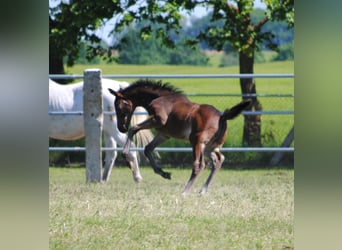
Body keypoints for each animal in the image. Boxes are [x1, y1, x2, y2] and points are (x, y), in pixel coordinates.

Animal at [109, 79, 251, 194]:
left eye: (119, 106)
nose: (121, 127)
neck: (160, 98)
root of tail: (222, 116)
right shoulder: (164, 134)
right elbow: (148, 149)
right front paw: (164, 173)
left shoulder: (158, 120)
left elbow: (133, 129)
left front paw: (126, 157)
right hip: (210, 146)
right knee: (218, 160)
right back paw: (203, 190)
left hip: (197, 142)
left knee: (200, 164)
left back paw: (185, 191)